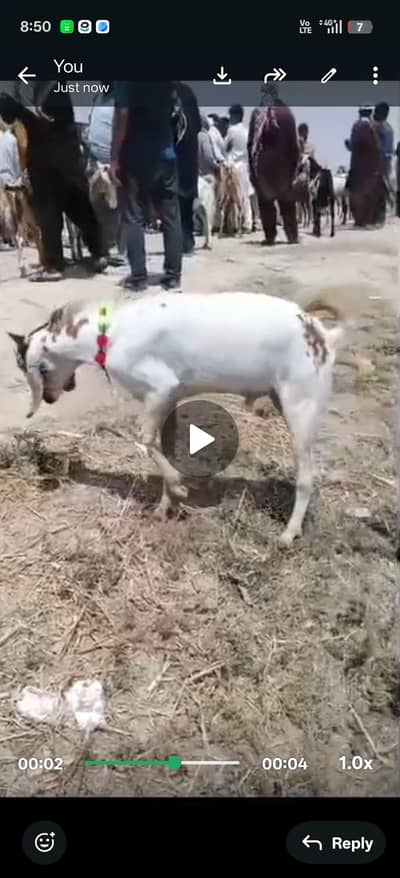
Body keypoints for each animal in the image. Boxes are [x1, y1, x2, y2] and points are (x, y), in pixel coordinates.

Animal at [8, 287, 357, 546]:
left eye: (31, 368)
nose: (48, 399)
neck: (108, 332)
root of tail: (322, 335)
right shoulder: (169, 399)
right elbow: (166, 446)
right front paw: (166, 506)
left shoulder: (160, 389)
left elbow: (146, 440)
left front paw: (178, 488)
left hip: (301, 406)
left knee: (307, 477)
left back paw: (288, 533)